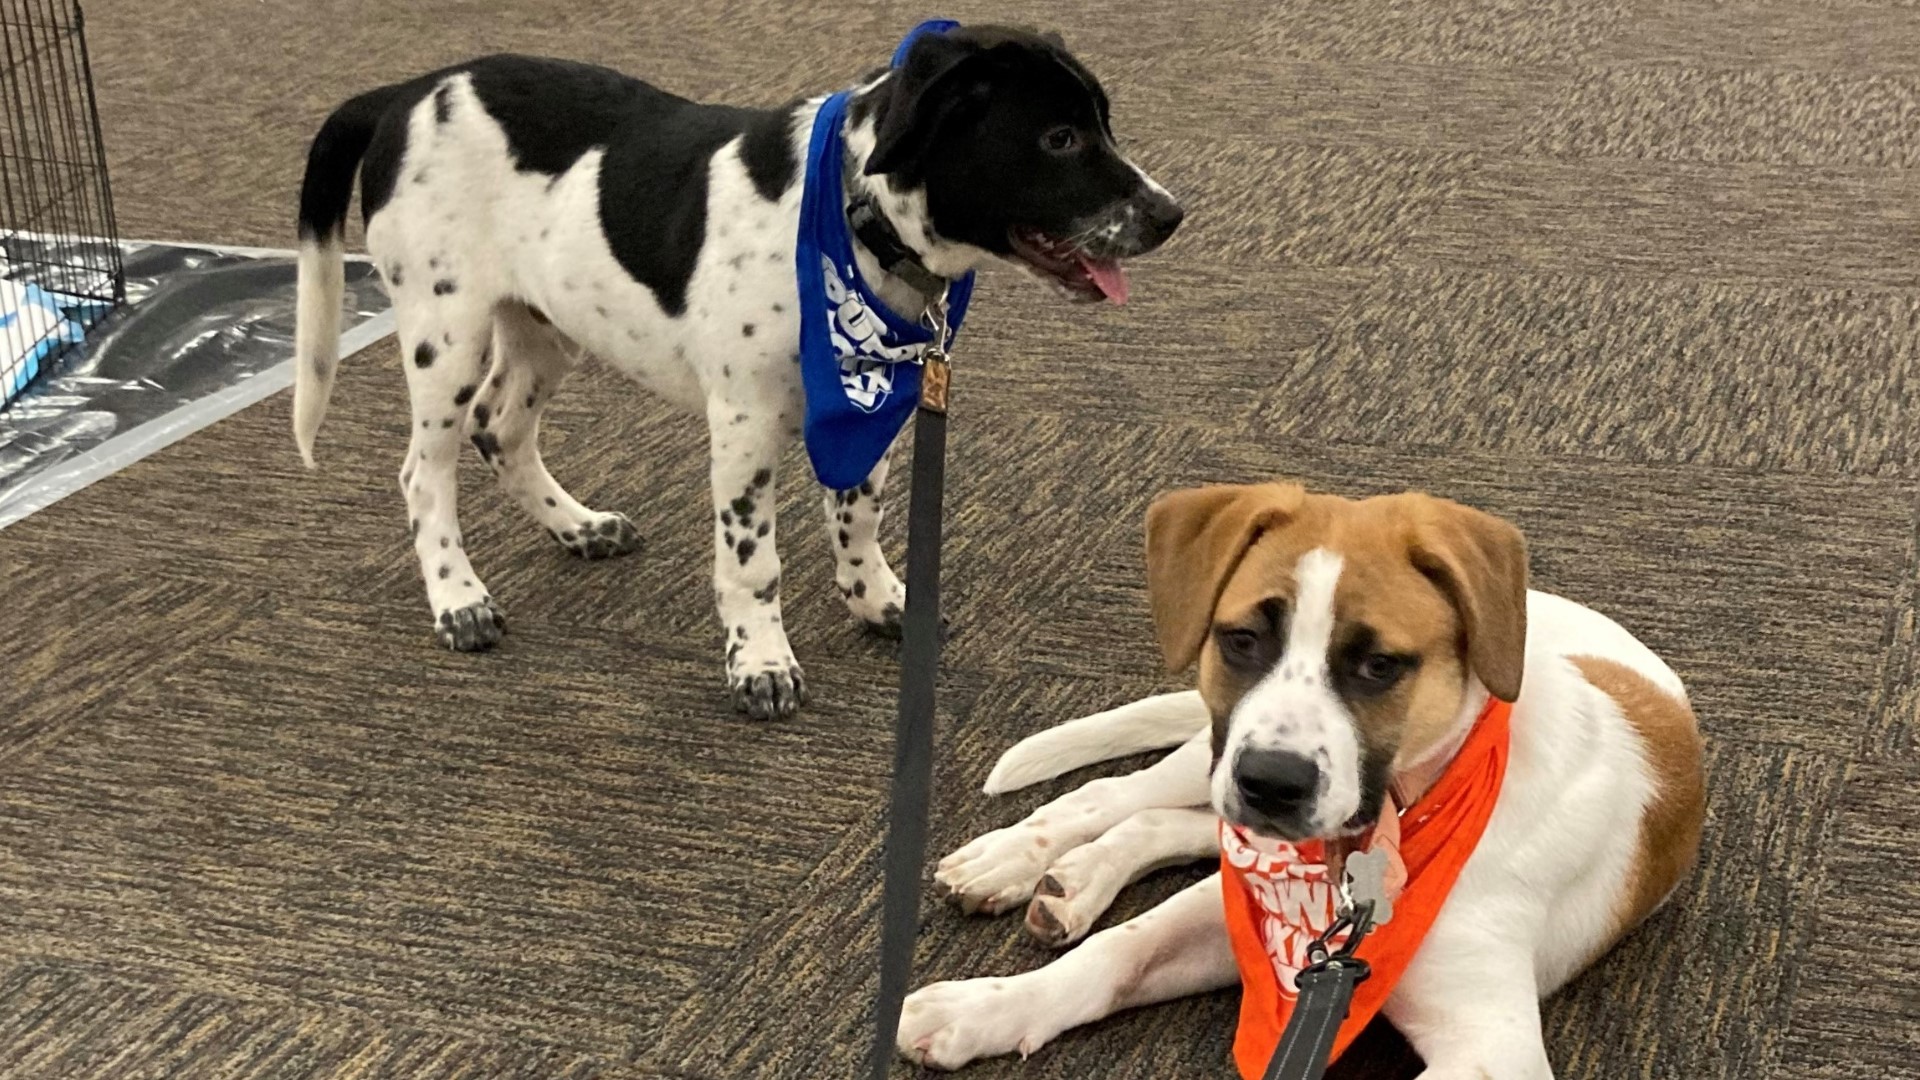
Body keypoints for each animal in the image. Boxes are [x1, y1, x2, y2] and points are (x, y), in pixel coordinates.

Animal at [291, 25, 1175, 714]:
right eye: (1058, 139)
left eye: (1104, 125)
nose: (1172, 215)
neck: (852, 221)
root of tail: (406, 92)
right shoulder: (745, 423)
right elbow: (754, 561)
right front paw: (760, 662)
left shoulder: (870, 406)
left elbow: (859, 517)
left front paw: (880, 602)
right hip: (447, 332)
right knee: (423, 472)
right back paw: (459, 598)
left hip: (545, 325)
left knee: (500, 429)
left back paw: (577, 526)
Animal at [890, 480, 1704, 1076]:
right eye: (1242, 639)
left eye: (1380, 665)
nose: (1271, 784)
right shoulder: (1249, 913)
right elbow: (1121, 951)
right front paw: (985, 1008)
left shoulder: (1493, 1051)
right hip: (1210, 752)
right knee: (1114, 796)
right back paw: (1012, 861)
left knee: (1172, 825)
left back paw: (1076, 880)